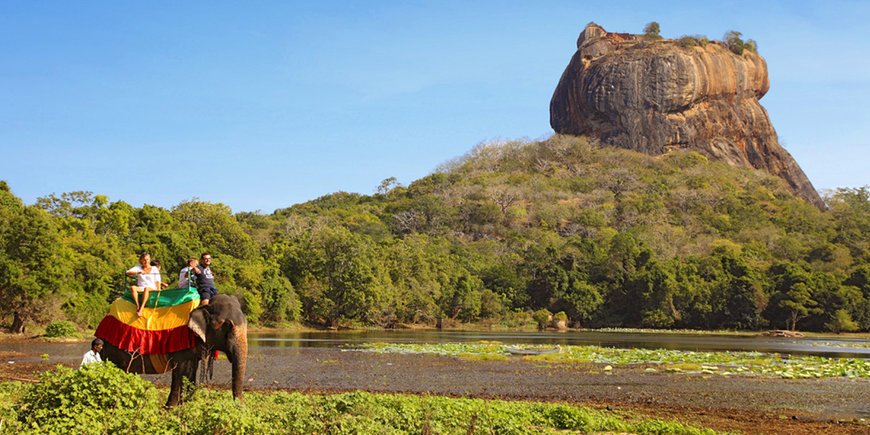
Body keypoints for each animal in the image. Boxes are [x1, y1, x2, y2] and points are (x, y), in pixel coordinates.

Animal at [99, 294, 249, 408]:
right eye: (227, 325)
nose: (239, 406)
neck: (203, 304)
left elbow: (190, 372)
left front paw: (185, 405)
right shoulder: (182, 345)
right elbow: (181, 372)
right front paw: (171, 408)